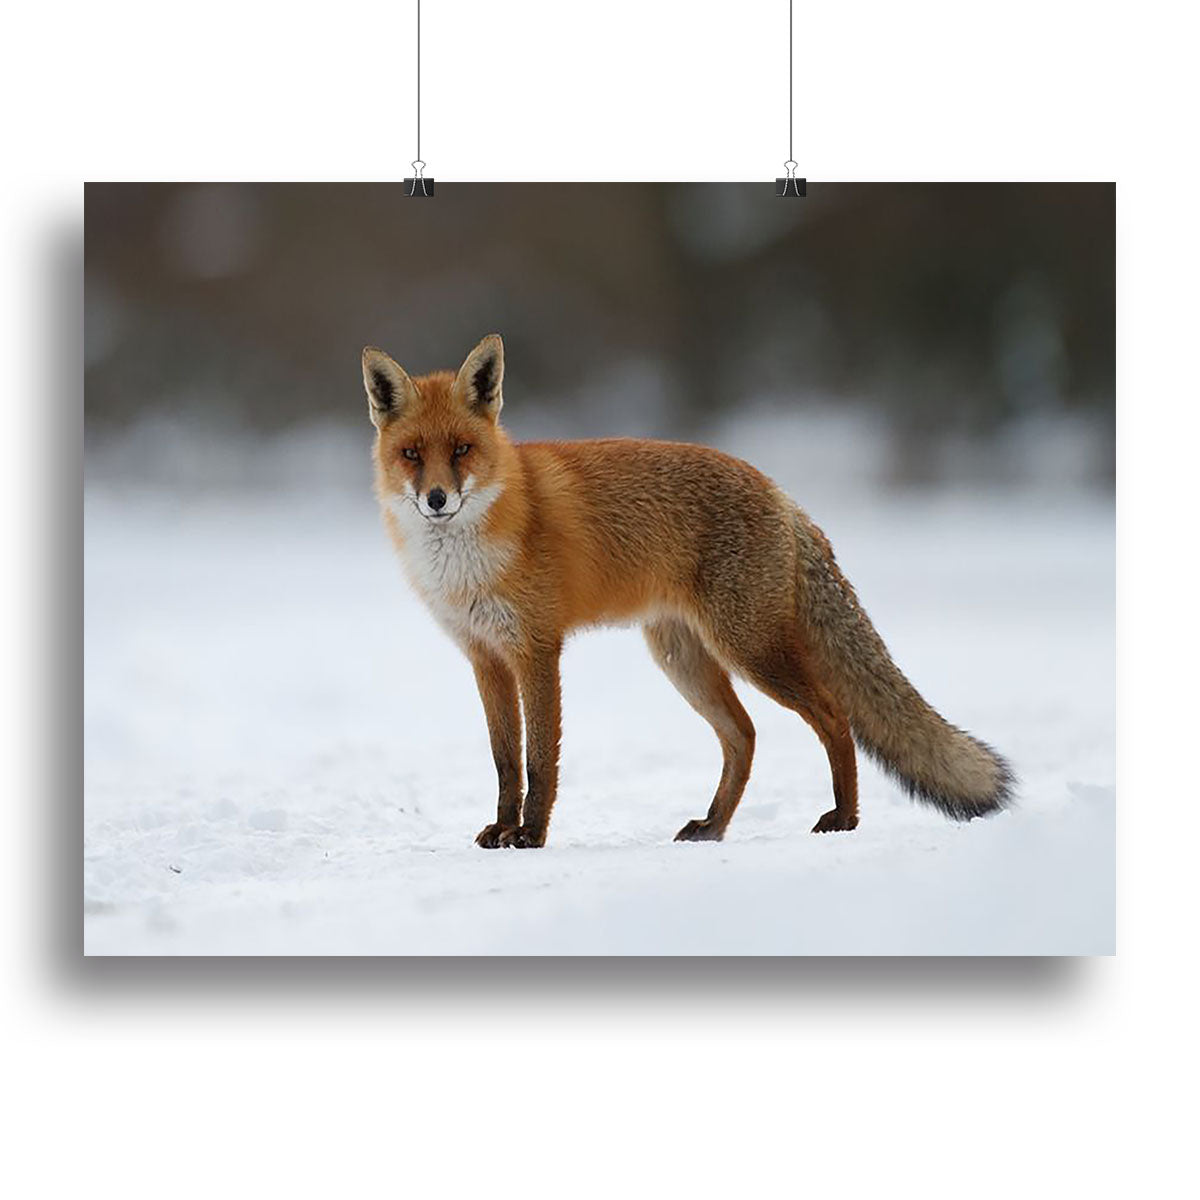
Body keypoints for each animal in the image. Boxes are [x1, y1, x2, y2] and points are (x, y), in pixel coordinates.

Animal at [363, 333, 1014, 849]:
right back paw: (714, 826)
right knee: (744, 736)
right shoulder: (485, 657)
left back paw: (844, 818)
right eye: (412, 454)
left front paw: (531, 835)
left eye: (462, 450)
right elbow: (506, 762)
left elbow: (541, 761)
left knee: (833, 716)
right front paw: (502, 828)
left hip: (750, 648)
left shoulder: (537, 649)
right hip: (683, 657)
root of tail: (781, 494)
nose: (437, 499)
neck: (466, 563)